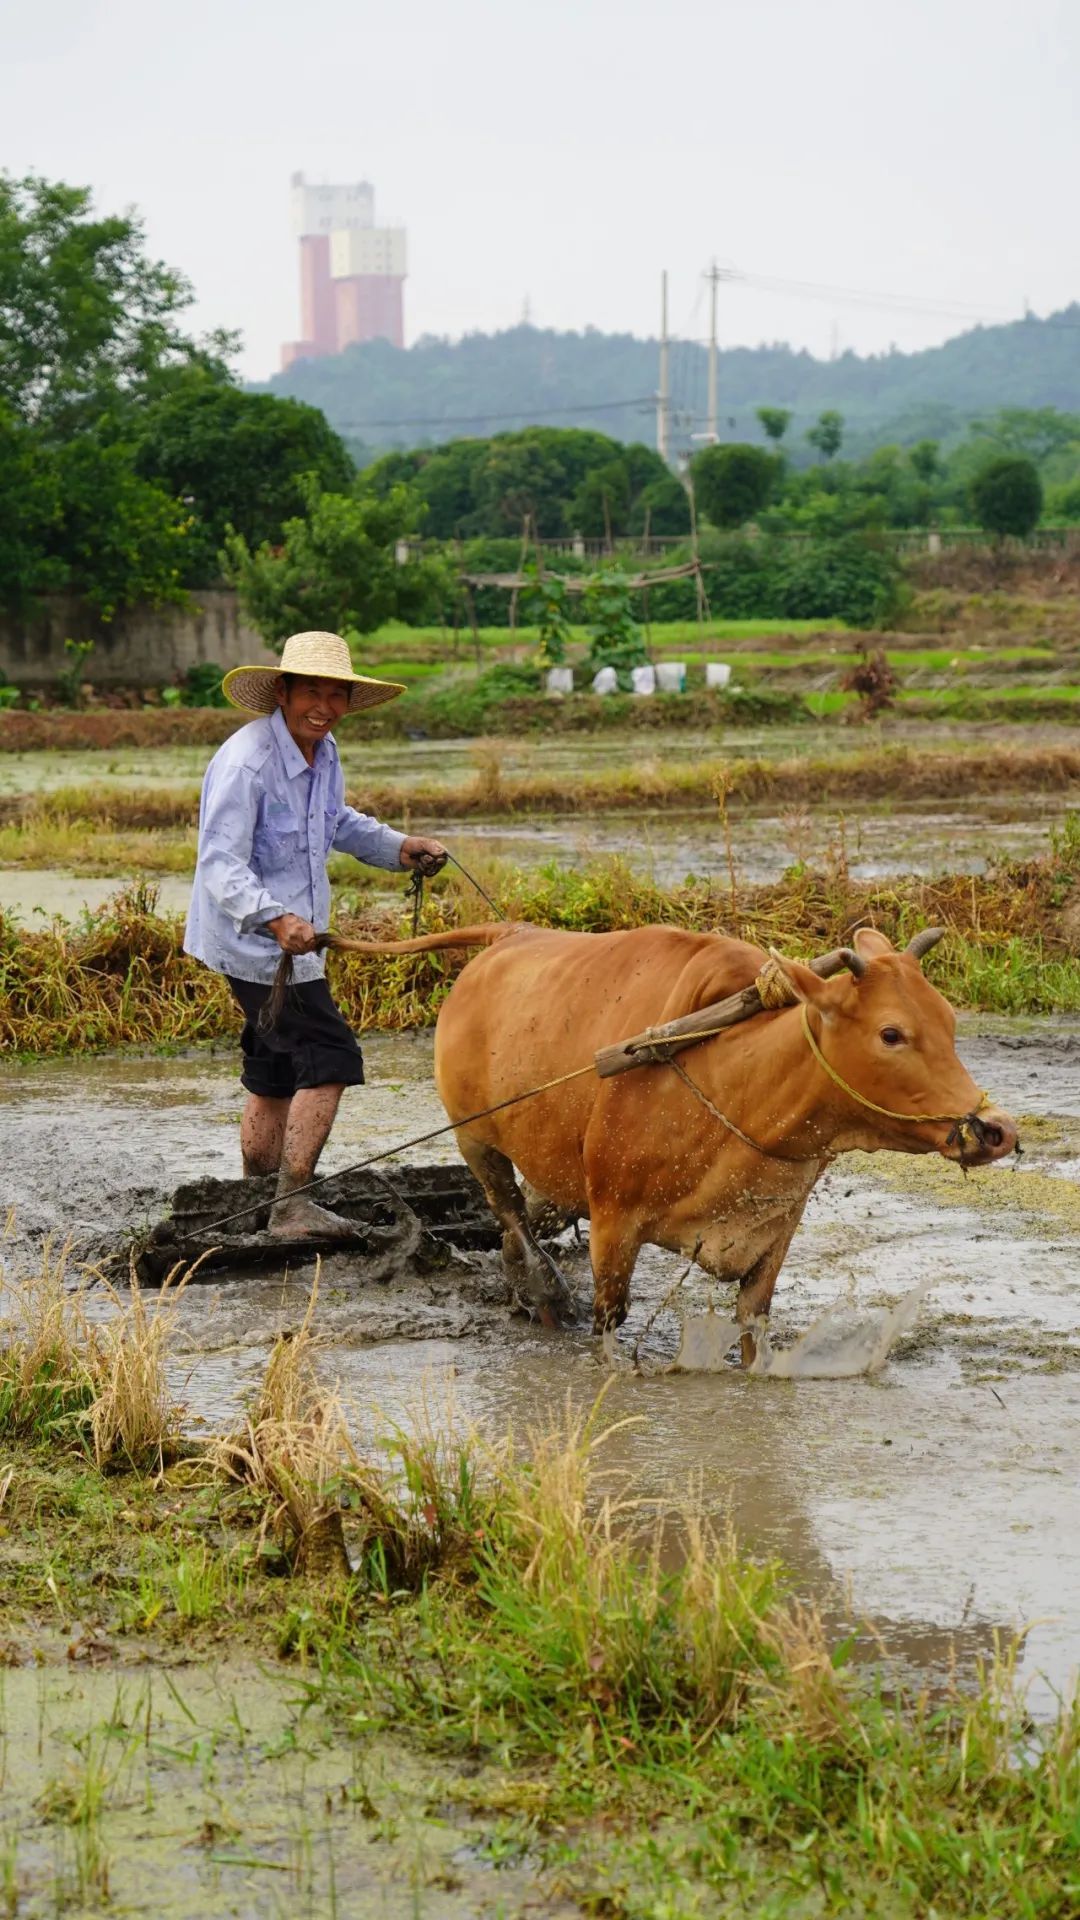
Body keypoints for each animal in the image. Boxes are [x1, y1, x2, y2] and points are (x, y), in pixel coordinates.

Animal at [337, 920, 1019, 1358]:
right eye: (891, 1034)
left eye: (949, 1021)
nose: (996, 1130)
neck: (738, 1085)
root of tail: (505, 940)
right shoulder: (614, 1227)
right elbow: (609, 1330)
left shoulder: (773, 1236)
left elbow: (753, 1333)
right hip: (476, 1144)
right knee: (511, 1217)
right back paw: (543, 1296)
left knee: (522, 1222)